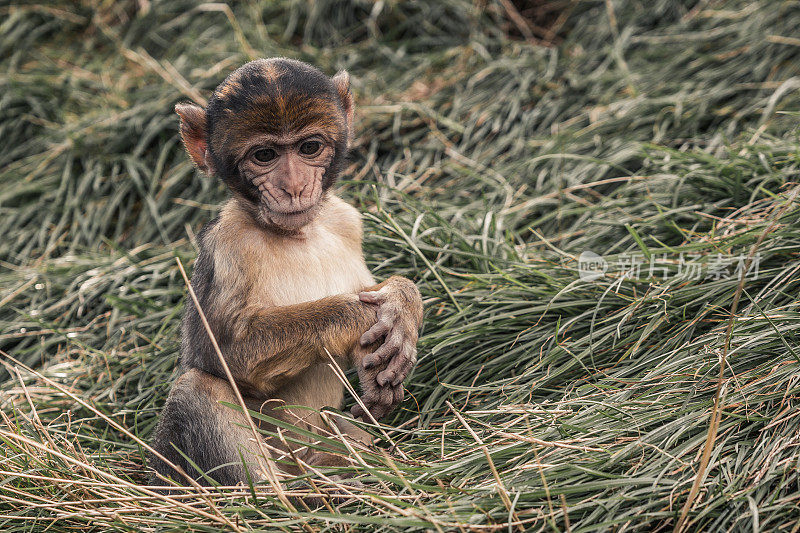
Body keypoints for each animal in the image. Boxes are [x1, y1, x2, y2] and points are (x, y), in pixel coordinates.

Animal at [152, 58, 424, 486]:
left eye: (309, 147)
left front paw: (401, 305)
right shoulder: (226, 244)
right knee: (197, 389)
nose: (294, 186)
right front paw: (361, 317)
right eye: (264, 155)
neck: (296, 233)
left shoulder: (346, 220)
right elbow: (223, 355)